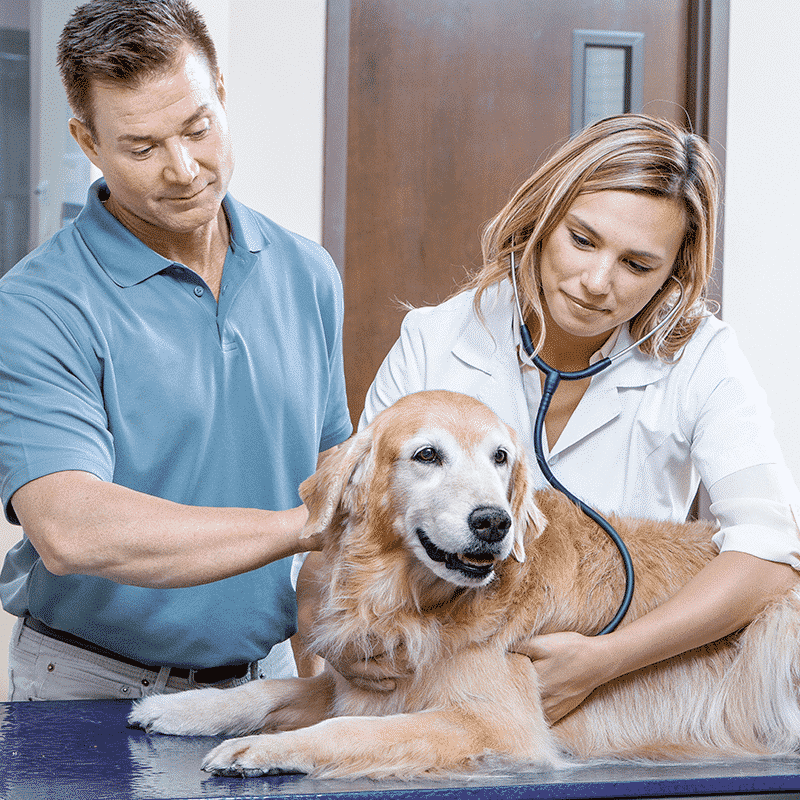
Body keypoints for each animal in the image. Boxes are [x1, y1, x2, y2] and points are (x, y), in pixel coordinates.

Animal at [128, 390, 800, 780]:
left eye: (501, 457)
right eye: (427, 455)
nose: (494, 522)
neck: (420, 604)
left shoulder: (493, 723)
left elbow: (350, 731)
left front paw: (260, 752)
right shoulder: (365, 685)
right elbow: (270, 692)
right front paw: (179, 707)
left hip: (776, 632)